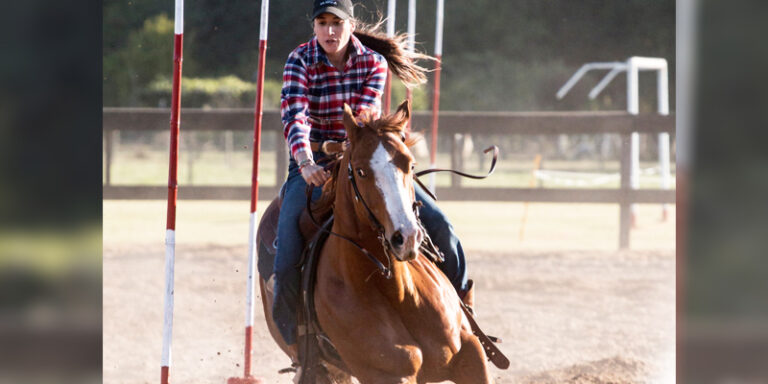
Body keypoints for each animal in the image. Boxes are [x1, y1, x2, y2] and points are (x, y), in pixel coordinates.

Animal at [260, 101, 492, 384]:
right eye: (361, 171)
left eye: (410, 165)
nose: (406, 237)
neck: (398, 292)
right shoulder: (390, 374)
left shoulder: (470, 354)